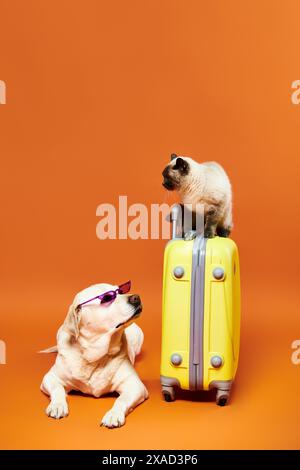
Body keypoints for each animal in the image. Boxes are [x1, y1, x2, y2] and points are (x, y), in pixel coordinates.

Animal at [41, 280, 149, 428]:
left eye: (121, 291)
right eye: (107, 298)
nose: (136, 297)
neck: (93, 356)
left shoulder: (134, 385)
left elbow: (121, 399)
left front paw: (113, 414)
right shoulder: (50, 377)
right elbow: (58, 389)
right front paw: (57, 405)